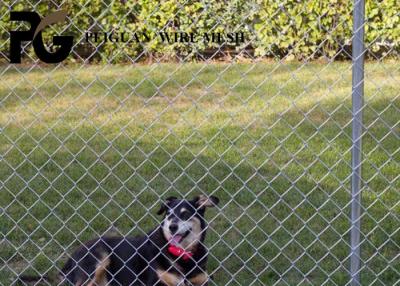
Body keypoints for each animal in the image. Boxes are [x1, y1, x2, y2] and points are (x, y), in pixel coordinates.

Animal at [18, 194, 219, 286]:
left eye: (185, 214)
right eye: (169, 215)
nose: (172, 227)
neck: (182, 254)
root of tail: (69, 261)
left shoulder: (201, 282)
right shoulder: (155, 282)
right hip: (99, 257)